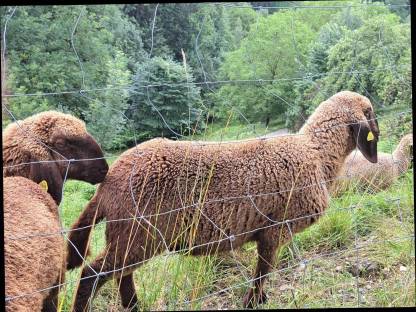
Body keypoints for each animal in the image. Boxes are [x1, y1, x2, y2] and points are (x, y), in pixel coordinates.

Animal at [66, 90, 380, 310]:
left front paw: (258, 300)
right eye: (371, 112)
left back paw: (134, 306)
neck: (315, 152)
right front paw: (253, 302)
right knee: (92, 274)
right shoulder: (274, 230)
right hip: (138, 233)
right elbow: (263, 271)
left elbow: (263, 271)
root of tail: (107, 183)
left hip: (130, 236)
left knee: (122, 275)